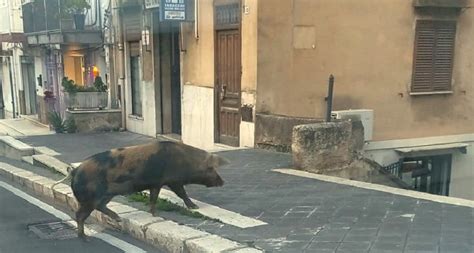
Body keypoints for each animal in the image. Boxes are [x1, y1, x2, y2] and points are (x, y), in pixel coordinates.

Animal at [55, 140, 228, 239]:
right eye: (211, 169)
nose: (223, 181)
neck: (184, 161)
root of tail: (75, 171)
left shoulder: (156, 184)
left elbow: (153, 198)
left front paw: (153, 214)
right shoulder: (172, 180)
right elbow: (182, 193)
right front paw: (195, 207)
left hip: (104, 196)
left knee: (98, 207)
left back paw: (117, 219)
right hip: (89, 198)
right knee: (80, 215)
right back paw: (84, 237)